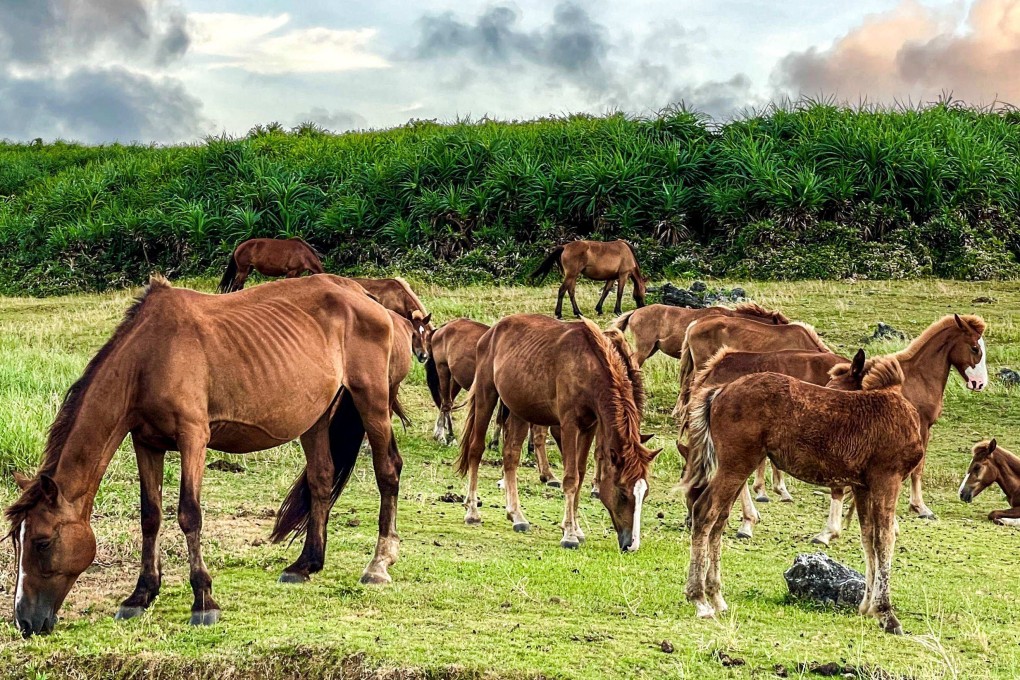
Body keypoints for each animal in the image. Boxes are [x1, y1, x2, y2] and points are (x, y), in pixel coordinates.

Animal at [6, 275, 402, 636]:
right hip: (317, 418)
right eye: (17, 541)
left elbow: (189, 515)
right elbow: (150, 516)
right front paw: (141, 595)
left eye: (42, 542)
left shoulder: (193, 438)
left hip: (372, 400)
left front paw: (203, 601)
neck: (148, 358)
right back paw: (305, 564)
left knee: (388, 471)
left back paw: (379, 564)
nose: (25, 621)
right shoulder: (146, 442)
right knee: (321, 479)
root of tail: (361, 293)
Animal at [425, 317, 557, 486]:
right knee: (447, 405)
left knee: (445, 403)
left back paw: (443, 434)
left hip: (455, 379)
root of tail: (443, 327)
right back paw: (446, 437)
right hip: (443, 370)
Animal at [456, 315, 660, 550]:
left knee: (510, 456)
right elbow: (571, 478)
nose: (631, 544)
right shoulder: (569, 424)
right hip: (485, 395)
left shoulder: (589, 426)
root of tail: (491, 332)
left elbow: (580, 473)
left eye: (644, 494)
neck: (587, 366)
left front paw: (576, 528)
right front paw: (569, 534)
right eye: (624, 493)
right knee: (475, 450)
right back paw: (472, 511)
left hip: (519, 410)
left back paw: (516, 515)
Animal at [683, 357, 924, 634]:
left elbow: (868, 539)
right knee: (705, 512)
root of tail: (720, 391)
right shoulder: (887, 478)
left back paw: (716, 597)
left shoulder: (862, 486)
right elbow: (884, 540)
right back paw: (700, 600)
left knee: (719, 520)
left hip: (738, 465)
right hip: (736, 463)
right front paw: (886, 614)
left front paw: (866, 607)